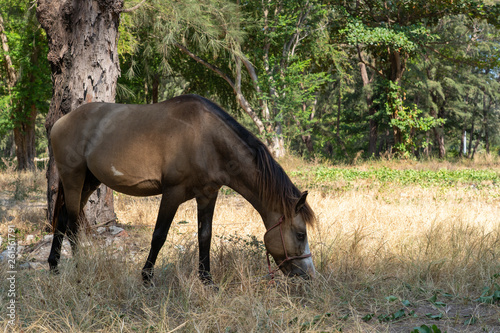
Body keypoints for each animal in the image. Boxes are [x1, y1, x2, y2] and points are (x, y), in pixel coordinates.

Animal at [49, 93, 316, 282]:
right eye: (300, 235)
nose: (309, 276)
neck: (205, 138)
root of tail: (60, 122)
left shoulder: (208, 195)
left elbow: (204, 236)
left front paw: (207, 280)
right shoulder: (172, 193)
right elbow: (159, 235)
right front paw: (146, 278)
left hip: (88, 182)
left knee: (62, 220)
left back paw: (53, 267)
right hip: (74, 178)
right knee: (72, 223)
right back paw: (80, 268)